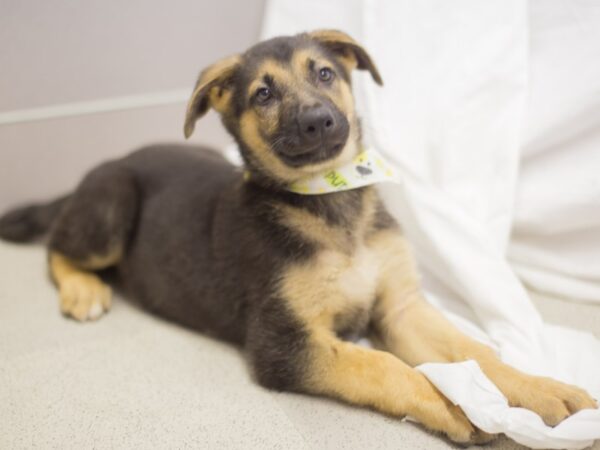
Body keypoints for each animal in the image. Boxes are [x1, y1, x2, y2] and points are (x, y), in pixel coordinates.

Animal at [1, 29, 596, 444]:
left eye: (326, 73)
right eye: (263, 93)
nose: (316, 121)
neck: (331, 200)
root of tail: (112, 163)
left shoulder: (400, 306)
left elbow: (478, 354)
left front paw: (545, 392)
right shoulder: (283, 343)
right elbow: (385, 366)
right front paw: (451, 403)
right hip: (113, 205)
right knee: (57, 246)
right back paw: (84, 290)